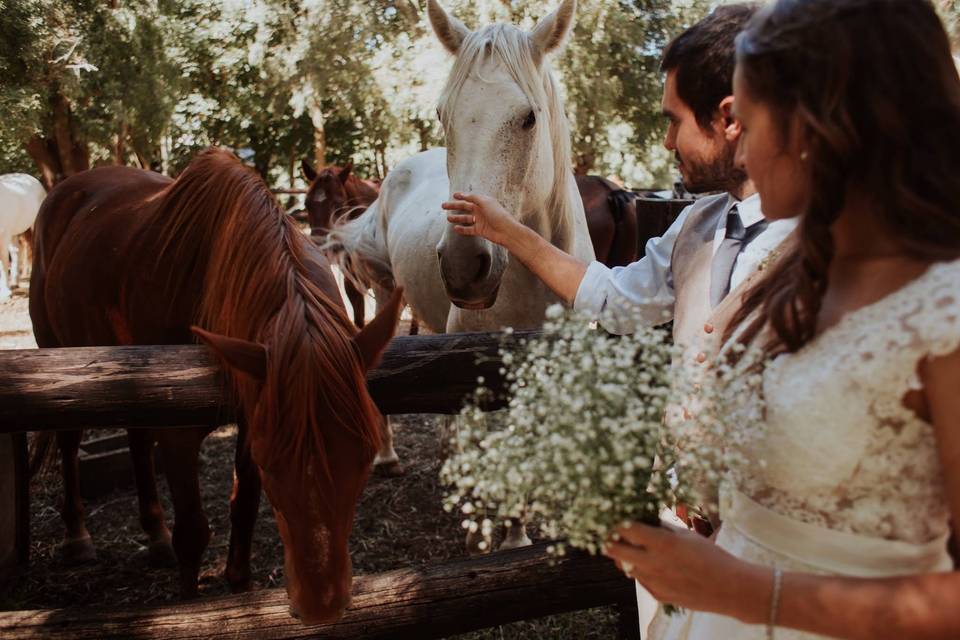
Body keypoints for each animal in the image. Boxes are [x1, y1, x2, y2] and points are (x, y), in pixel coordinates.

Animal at [28, 148, 400, 624]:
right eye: (272, 464)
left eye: (365, 456)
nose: (322, 606)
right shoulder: (181, 434)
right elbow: (193, 531)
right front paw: (191, 607)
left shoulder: (252, 415)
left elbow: (243, 510)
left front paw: (242, 590)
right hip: (56, 350)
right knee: (70, 440)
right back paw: (77, 537)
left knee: (136, 440)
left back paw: (155, 536)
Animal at [328, 0, 592, 552]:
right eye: (441, 115)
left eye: (528, 117)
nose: (464, 265)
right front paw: (503, 537)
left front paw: (515, 533)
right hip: (386, 294)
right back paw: (389, 455)